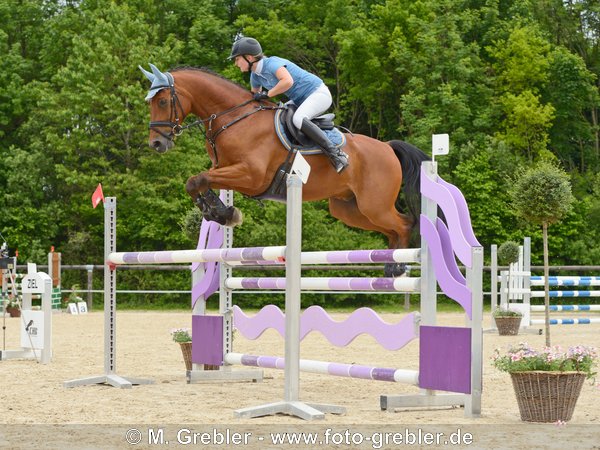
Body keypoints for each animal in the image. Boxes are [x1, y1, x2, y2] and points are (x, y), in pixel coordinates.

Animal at [141, 62, 428, 274]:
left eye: (163, 101)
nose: (156, 143)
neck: (233, 118)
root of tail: (388, 147)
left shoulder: (251, 175)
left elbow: (197, 179)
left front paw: (223, 213)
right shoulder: (224, 170)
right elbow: (198, 181)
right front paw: (221, 212)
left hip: (374, 205)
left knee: (404, 224)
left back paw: (399, 266)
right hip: (350, 209)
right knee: (393, 228)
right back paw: (391, 264)